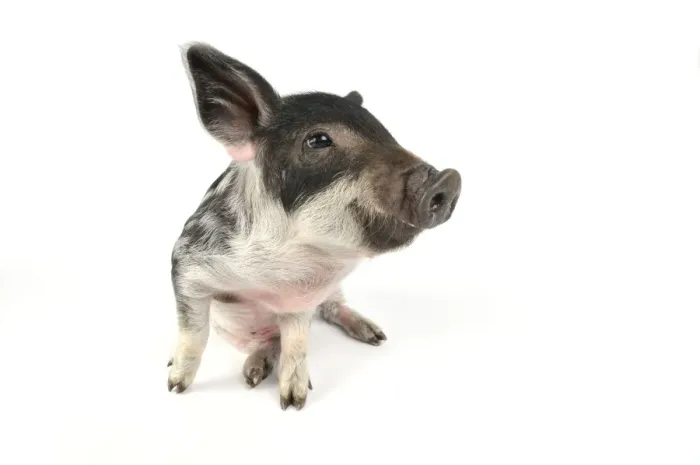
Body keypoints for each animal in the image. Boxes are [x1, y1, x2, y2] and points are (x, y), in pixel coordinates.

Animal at [167, 42, 462, 410]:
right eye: (319, 140)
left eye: (384, 131)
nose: (449, 180)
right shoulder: (185, 264)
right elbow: (193, 333)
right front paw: (174, 386)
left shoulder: (302, 298)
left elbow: (296, 345)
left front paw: (294, 402)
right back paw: (251, 376)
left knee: (329, 310)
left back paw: (375, 335)